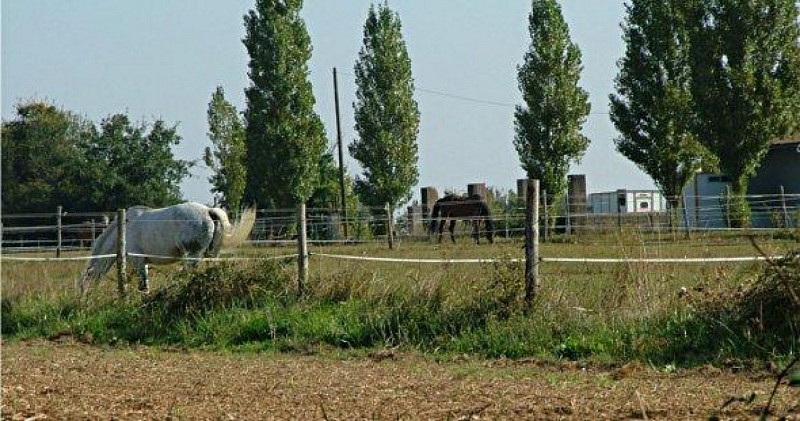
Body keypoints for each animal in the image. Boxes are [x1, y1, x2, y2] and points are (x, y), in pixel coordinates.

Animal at [77, 201, 255, 296]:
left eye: (83, 287)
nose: (81, 306)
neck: (126, 227)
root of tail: (208, 211)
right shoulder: (144, 263)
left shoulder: (138, 261)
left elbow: (143, 286)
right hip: (211, 255)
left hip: (193, 256)